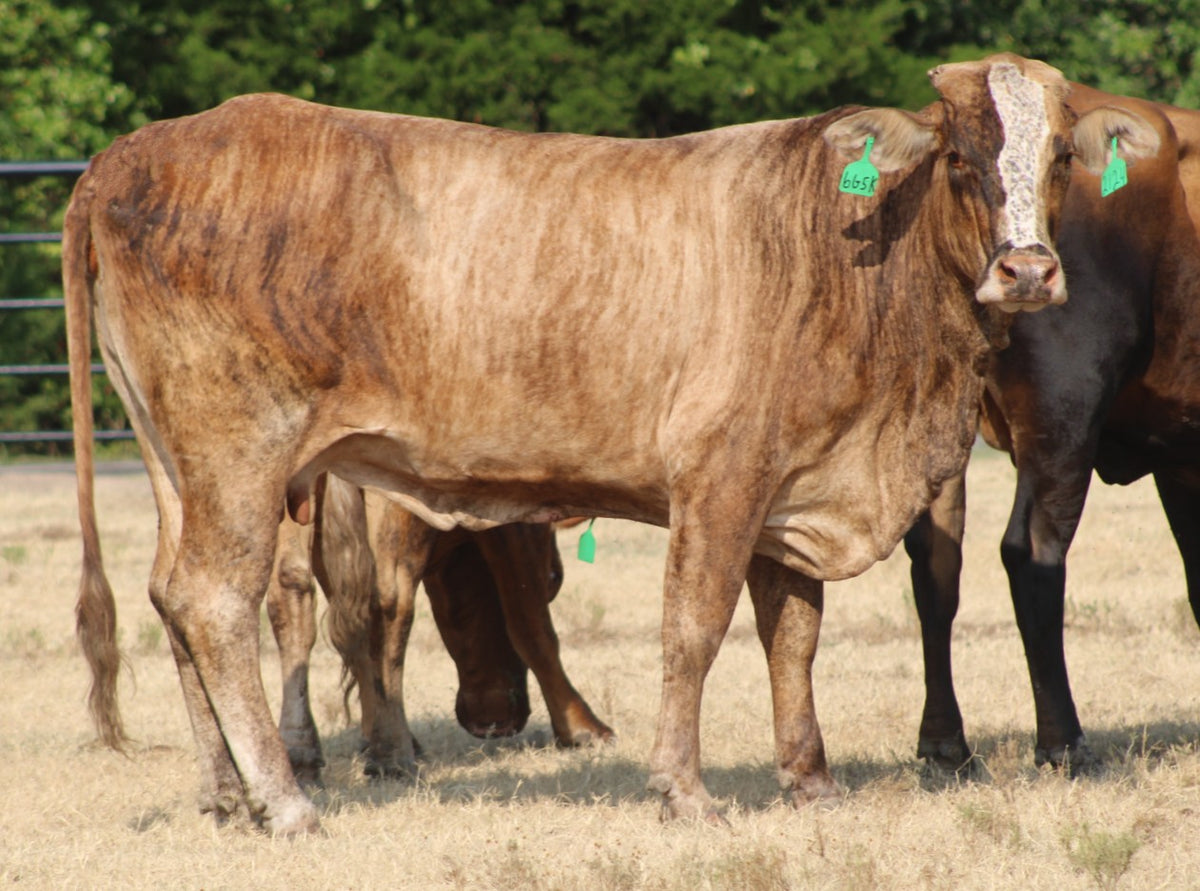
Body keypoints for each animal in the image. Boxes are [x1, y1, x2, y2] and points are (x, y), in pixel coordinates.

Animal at [267, 473, 613, 784]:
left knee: (293, 589)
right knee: (389, 601)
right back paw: (393, 756)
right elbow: (532, 626)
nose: (495, 722)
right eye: (555, 578)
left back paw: (304, 756)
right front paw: (582, 727)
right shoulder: (516, 522)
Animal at [905, 85, 1200, 774]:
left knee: (936, 560)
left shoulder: (1181, 460)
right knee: (1032, 552)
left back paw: (944, 745)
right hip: (1063, 410)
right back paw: (1063, 741)